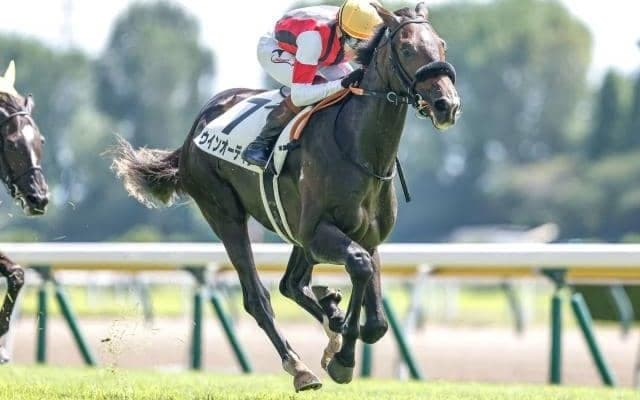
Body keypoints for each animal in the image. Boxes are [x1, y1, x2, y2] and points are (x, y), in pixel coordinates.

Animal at [112, 3, 460, 391]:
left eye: (442, 45)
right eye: (407, 48)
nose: (447, 104)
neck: (360, 149)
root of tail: (193, 132)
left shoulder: (366, 237)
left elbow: (376, 321)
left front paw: (339, 325)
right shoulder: (319, 232)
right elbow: (359, 267)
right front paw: (343, 359)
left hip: (294, 230)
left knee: (291, 283)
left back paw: (329, 316)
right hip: (226, 215)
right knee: (258, 297)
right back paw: (300, 366)